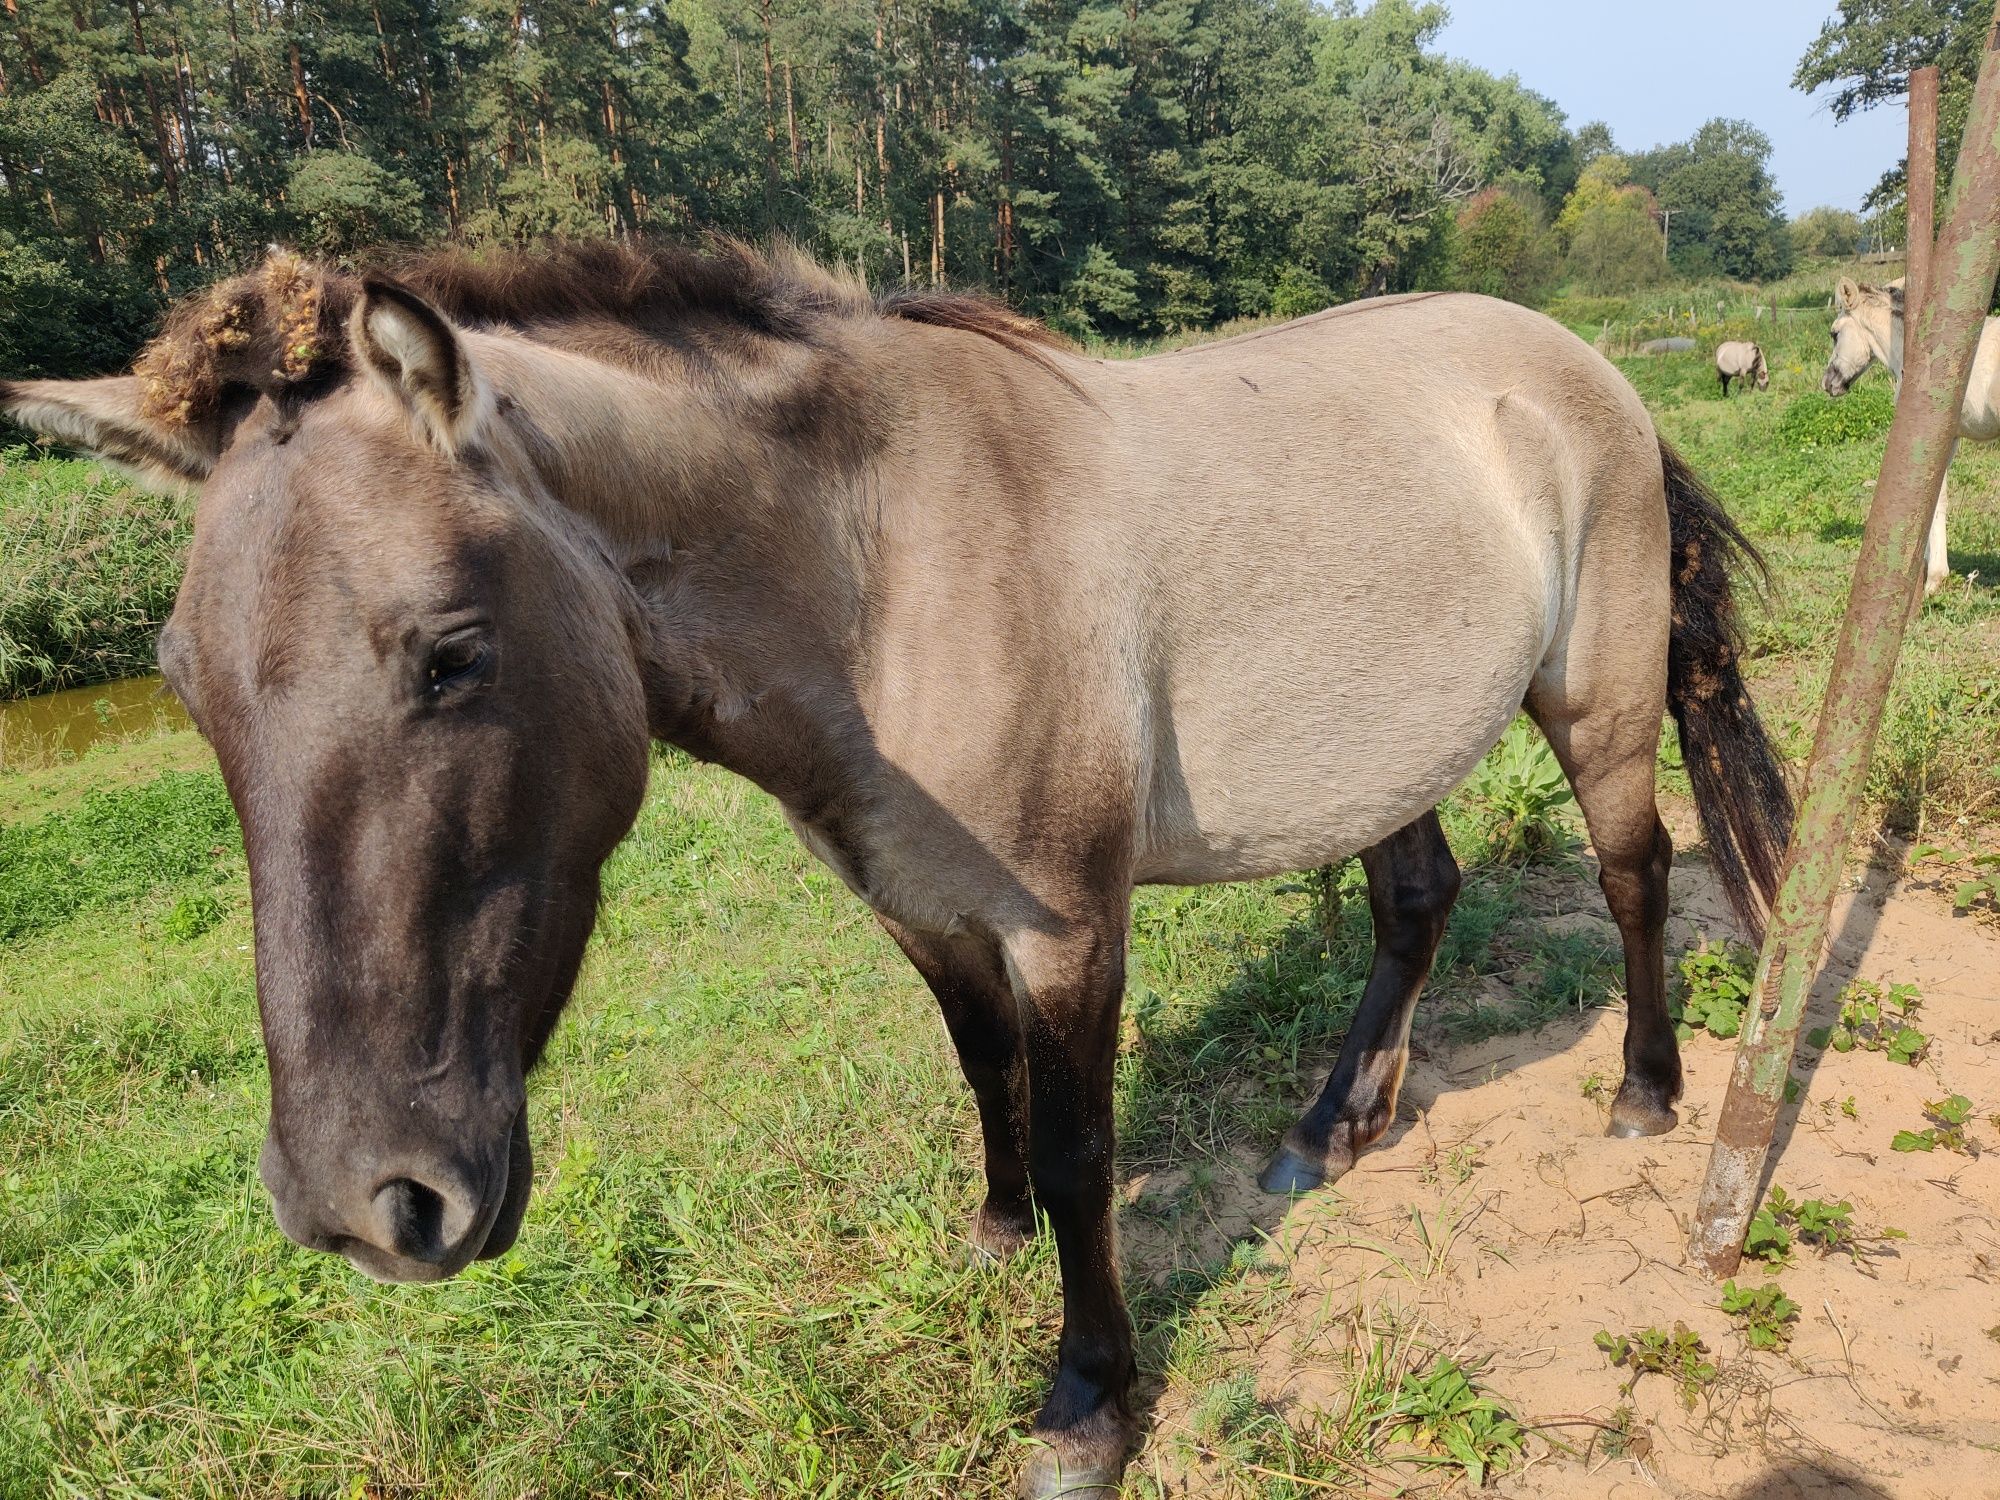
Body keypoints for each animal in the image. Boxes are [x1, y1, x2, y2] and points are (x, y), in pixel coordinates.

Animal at [0, 241, 1792, 1496]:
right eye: (186, 687)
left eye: (449, 654)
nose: (364, 1203)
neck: (886, 556)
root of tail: (1581, 369)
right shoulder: (921, 901)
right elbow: (981, 1071)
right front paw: (992, 1237)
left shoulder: (1069, 921)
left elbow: (1079, 1145)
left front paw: (1085, 1402)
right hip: (1376, 744)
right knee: (1415, 904)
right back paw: (1325, 1130)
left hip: (1595, 706)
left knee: (1636, 877)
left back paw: (1646, 1093)